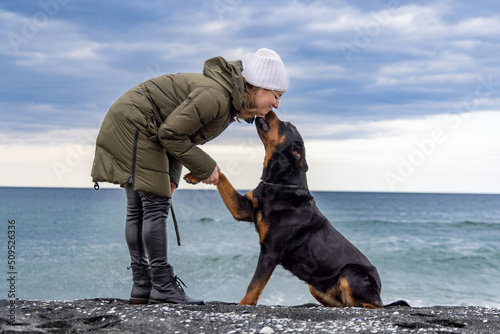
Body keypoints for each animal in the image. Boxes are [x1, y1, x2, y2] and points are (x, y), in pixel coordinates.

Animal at [184, 110, 406, 308]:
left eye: (286, 125)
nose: (270, 110)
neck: (279, 183)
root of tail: (379, 291)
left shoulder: (270, 252)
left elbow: (254, 285)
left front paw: (243, 304)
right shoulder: (242, 209)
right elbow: (222, 176)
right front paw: (196, 175)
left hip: (350, 274)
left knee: (373, 306)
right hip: (315, 287)